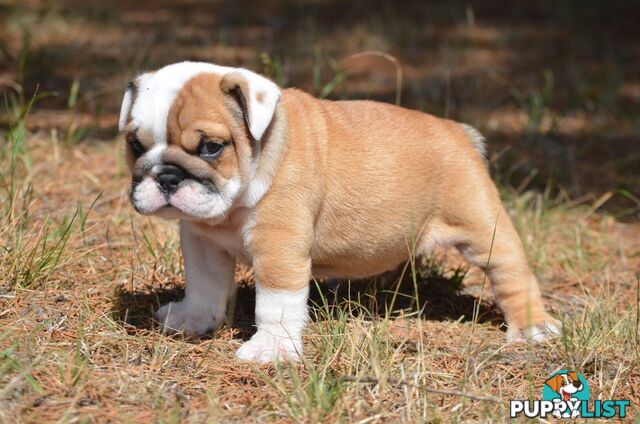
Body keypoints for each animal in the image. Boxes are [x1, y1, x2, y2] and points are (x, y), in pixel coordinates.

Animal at [119, 61, 560, 362]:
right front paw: (194, 320)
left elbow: (275, 302)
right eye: (136, 146)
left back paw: (532, 329)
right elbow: (205, 286)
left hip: (482, 228)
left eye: (211, 147)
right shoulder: (203, 243)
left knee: (512, 273)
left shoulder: (278, 248)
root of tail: (458, 131)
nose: (167, 177)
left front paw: (271, 349)